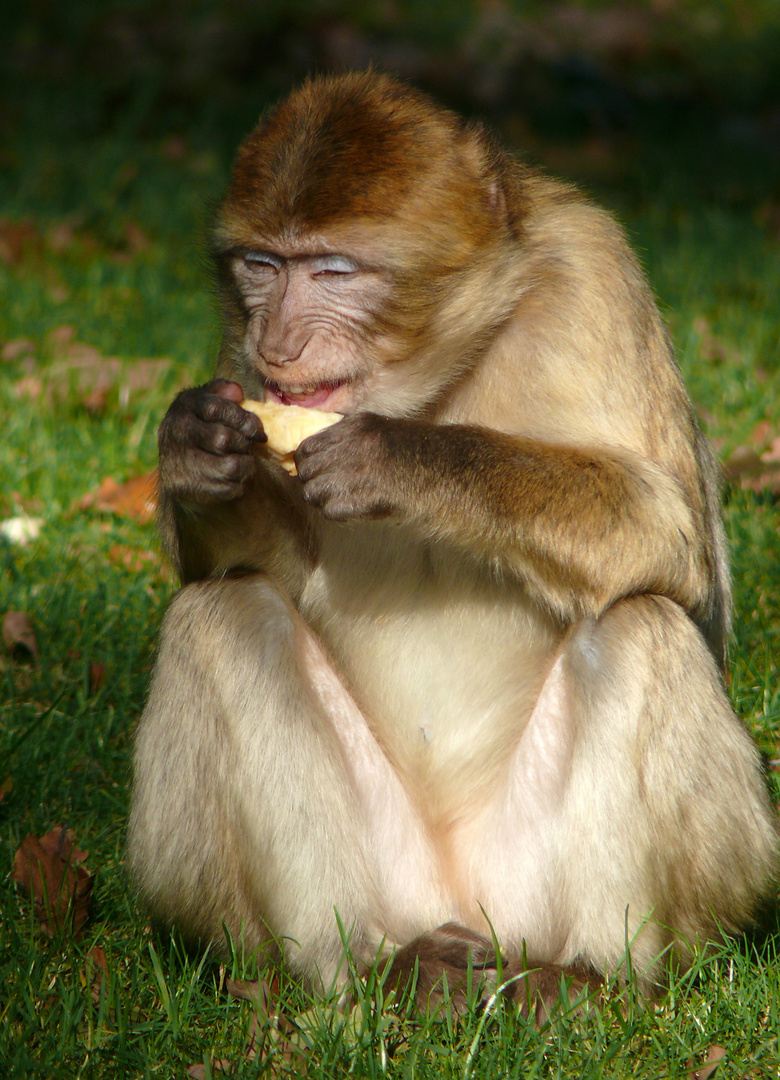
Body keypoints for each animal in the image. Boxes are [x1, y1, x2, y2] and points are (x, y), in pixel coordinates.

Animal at [125, 69, 773, 1010]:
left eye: (334, 270)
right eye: (261, 267)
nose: (276, 341)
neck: (439, 378)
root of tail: (463, 893)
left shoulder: (594, 271)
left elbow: (672, 535)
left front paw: (404, 459)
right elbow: (262, 564)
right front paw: (196, 447)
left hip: (544, 887)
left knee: (640, 623)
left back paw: (590, 977)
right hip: (397, 886)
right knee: (224, 616)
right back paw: (368, 974)